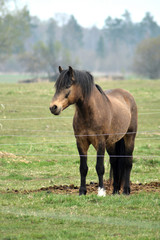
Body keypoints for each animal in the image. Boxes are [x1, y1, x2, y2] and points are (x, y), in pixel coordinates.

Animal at [49, 65, 138, 195]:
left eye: (67, 86)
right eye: (56, 87)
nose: (53, 107)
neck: (90, 113)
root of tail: (127, 95)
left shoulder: (100, 142)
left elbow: (99, 167)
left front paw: (101, 191)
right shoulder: (81, 142)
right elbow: (83, 168)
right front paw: (82, 191)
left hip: (129, 137)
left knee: (128, 162)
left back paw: (126, 190)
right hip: (112, 143)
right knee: (115, 162)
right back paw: (115, 190)